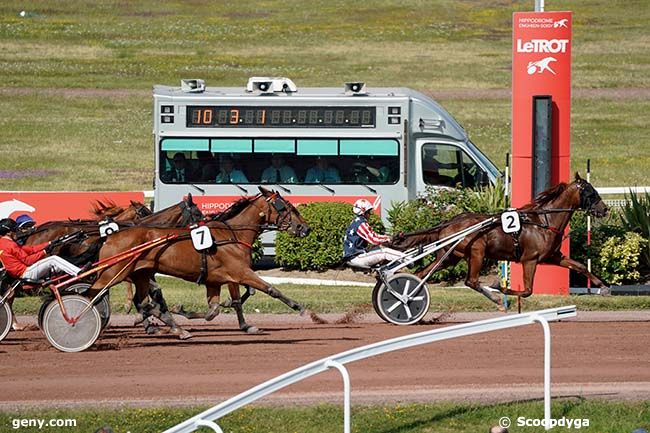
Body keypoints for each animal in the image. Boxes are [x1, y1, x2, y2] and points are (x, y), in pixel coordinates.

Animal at [88, 187, 308, 332]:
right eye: (285, 207)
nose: (305, 228)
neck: (233, 235)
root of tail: (110, 236)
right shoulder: (240, 272)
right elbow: (270, 289)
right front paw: (299, 307)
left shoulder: (215, 281)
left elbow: (214, 311)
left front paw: (182, 310)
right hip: (112, 272)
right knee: (93, 294)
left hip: (139, 273)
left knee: (140, 301)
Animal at [384, 172, 608, 308]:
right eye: (591, 192)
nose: (605, 209)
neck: (543, 222)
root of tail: (450, 222)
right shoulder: (529, 260)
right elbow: (527, 290)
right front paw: (500, 287)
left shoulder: (553, 257)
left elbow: (579, 266)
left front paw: (603, 286)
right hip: (477, 251)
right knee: (471, 281)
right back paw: (495, 297)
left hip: (449, 256)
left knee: (421, 274)